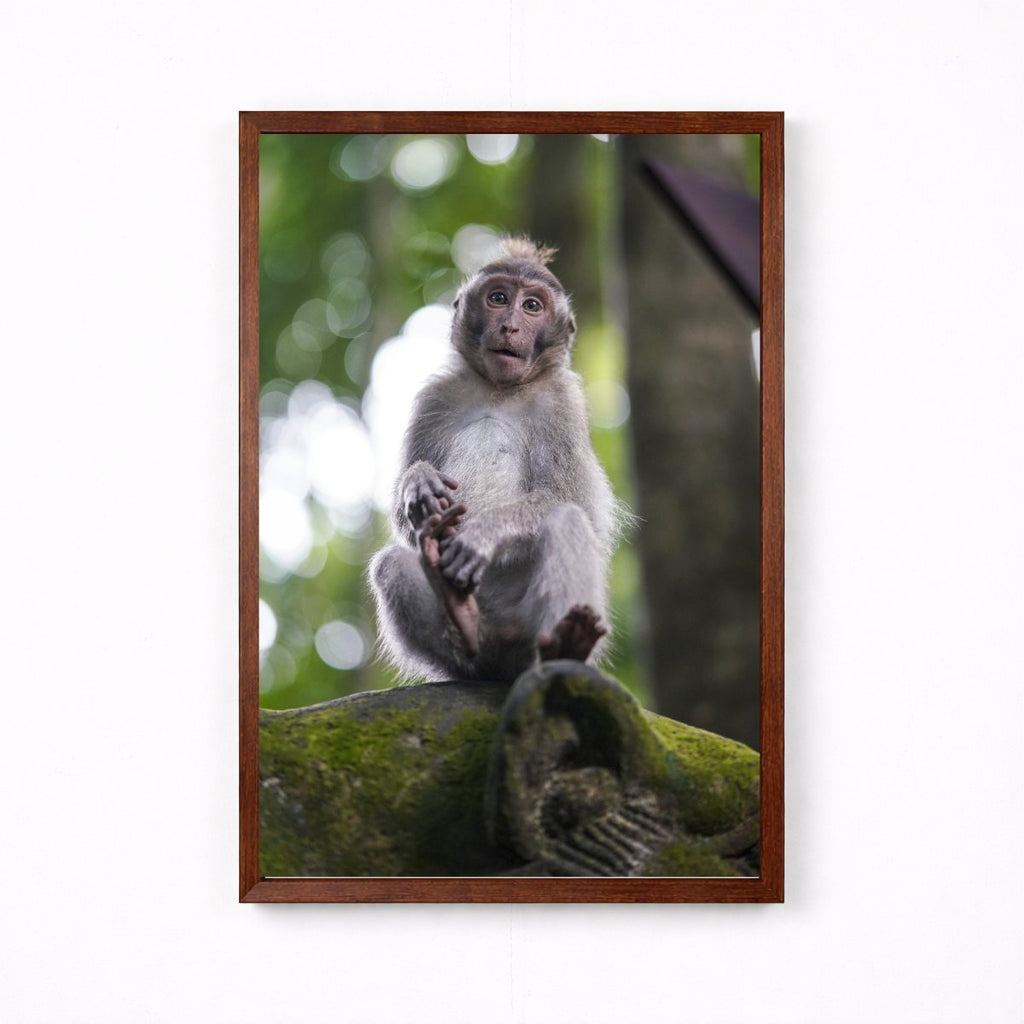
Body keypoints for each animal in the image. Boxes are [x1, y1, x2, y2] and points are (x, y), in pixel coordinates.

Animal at [369, 237, 621, 683]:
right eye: (499, 298)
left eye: (532, 306)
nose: (510, 327)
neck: (500, 391)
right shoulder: (435, 398)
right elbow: (404, 523)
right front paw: (418, 481)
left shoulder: (562, 404)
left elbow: (573, 501)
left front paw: (484, 533)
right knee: (391, 563)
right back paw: (466, 628)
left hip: (529, 628)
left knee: (567, 520)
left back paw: (566, 647)